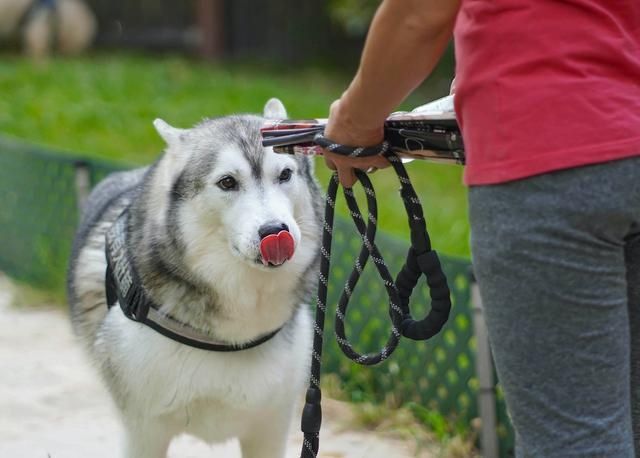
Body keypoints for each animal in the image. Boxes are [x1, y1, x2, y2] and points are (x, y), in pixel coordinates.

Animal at [67, 98, 322, 456]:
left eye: (285, 174)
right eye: (227, 182)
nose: (275, 231)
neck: (234, 336)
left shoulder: (272, 426)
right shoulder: (143, 431)